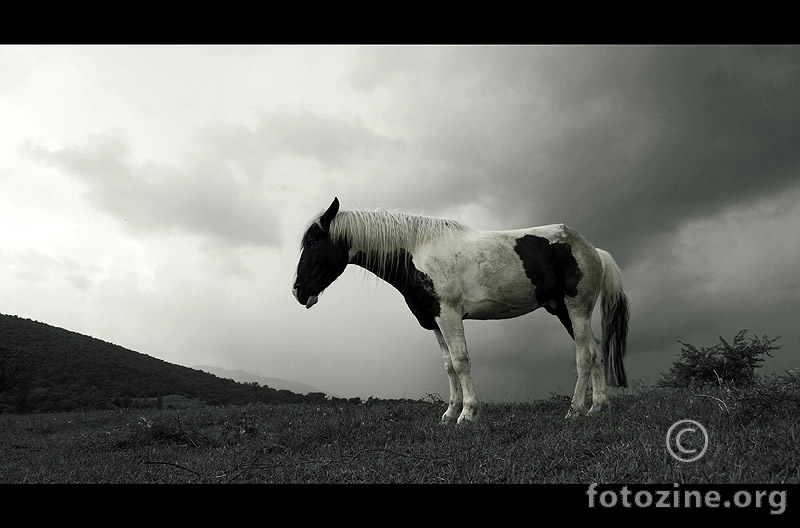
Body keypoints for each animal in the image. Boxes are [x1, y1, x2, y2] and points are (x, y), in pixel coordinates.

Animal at [290, 196, 628, 422]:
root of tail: (593, 250)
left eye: (314, 241)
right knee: (596, 352)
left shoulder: (450, 315)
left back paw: (576, 410)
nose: (297, 291)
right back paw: (598, 407)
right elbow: (448, 365)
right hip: (562, 310)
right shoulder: (435, 320)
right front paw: (450, 413)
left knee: (584, 356)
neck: (417, 252)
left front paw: (467, 413)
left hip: (576, 308)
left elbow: (462, 361)